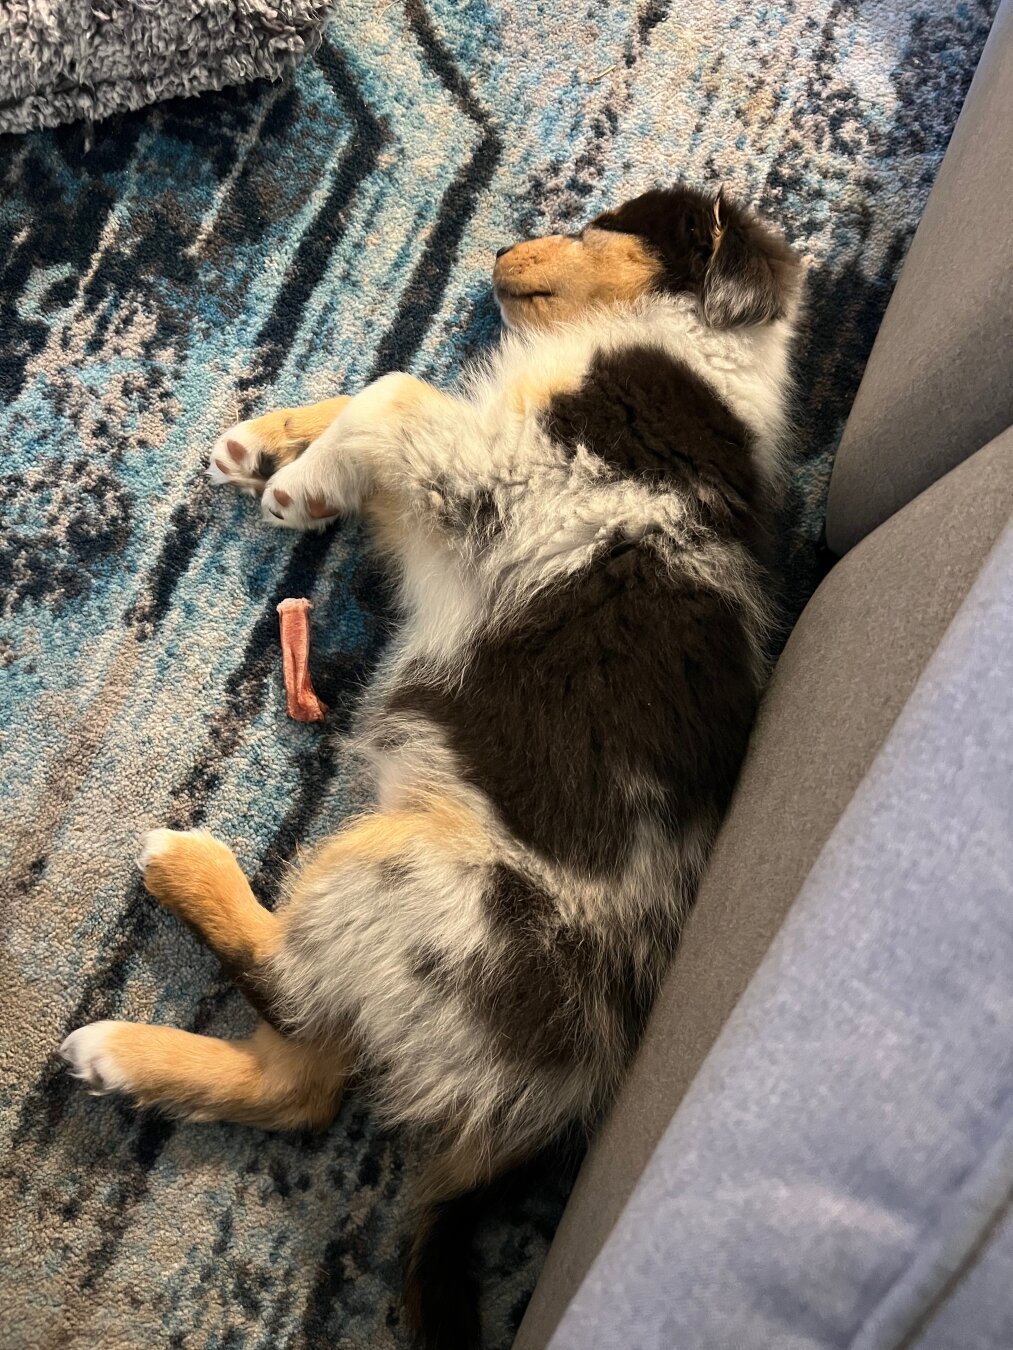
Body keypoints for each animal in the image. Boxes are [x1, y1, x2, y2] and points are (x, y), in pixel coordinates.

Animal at [59, 184, 804, 1344]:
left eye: (595, 229)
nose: (496, 249)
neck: (686, 348)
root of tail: (548, 1103)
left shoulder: (516, 479)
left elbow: (397, 391)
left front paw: (297, 485)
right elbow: (384, 386)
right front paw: (269, 442)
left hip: (403, 873)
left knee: (297, 1007)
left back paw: (183, 871)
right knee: (305, 1085)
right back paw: (127, 1056)